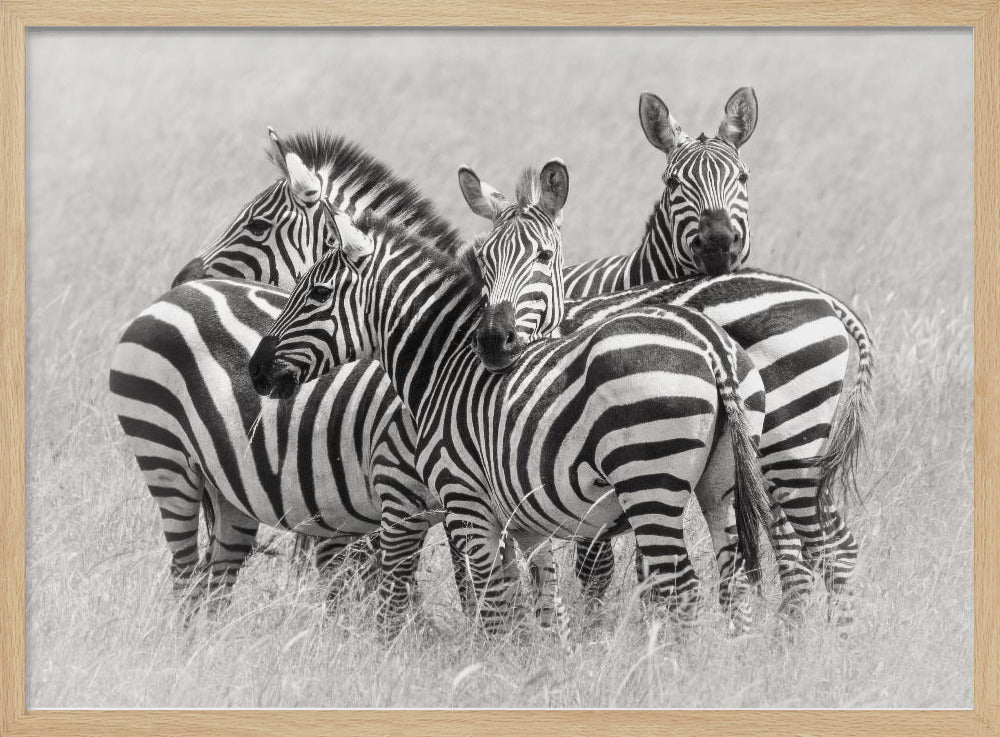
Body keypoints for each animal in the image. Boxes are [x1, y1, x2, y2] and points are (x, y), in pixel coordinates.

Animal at [248, 201, 772, 635]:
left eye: (317, 293)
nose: (254, 370)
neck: (444, 366)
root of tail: (711, 344)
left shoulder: (467, 502)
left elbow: (495, 605)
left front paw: (494, 670)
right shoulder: (523, 519)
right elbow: (541, 605)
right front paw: (543, 671)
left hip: (649, 483)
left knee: (680, 589)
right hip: (720, 487)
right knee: (733, 585)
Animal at [458, 91, 875, 621]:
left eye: (744, 178)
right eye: (673, 182)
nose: (718, 242)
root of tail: (826, 300)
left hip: (786, 448)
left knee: (820, 546)